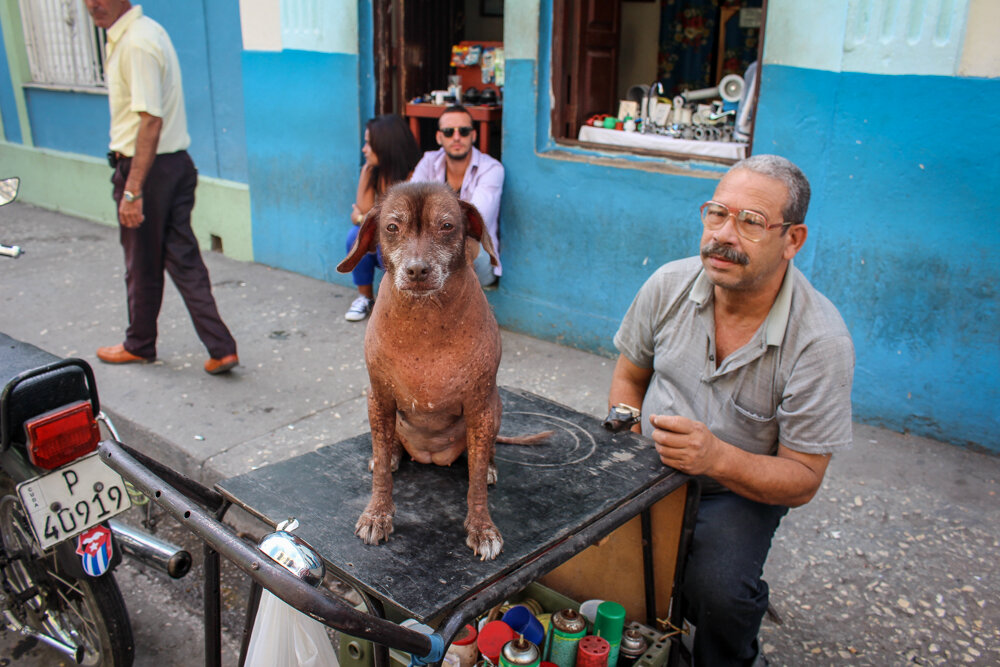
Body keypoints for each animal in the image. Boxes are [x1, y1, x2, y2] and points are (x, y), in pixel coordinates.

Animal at [336, 181, 544, 560]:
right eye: (392, 227)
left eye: (446, 226)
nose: (418, 270)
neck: (425, 323)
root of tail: (430, 456)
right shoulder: (379, 399)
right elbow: (381, 475)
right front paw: (378, 514)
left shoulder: (480, 407)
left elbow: (475, 483)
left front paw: (481, 526)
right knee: (387, 446)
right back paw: (392, 454)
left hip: (495, 410)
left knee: (484, 455)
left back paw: (489, 466)